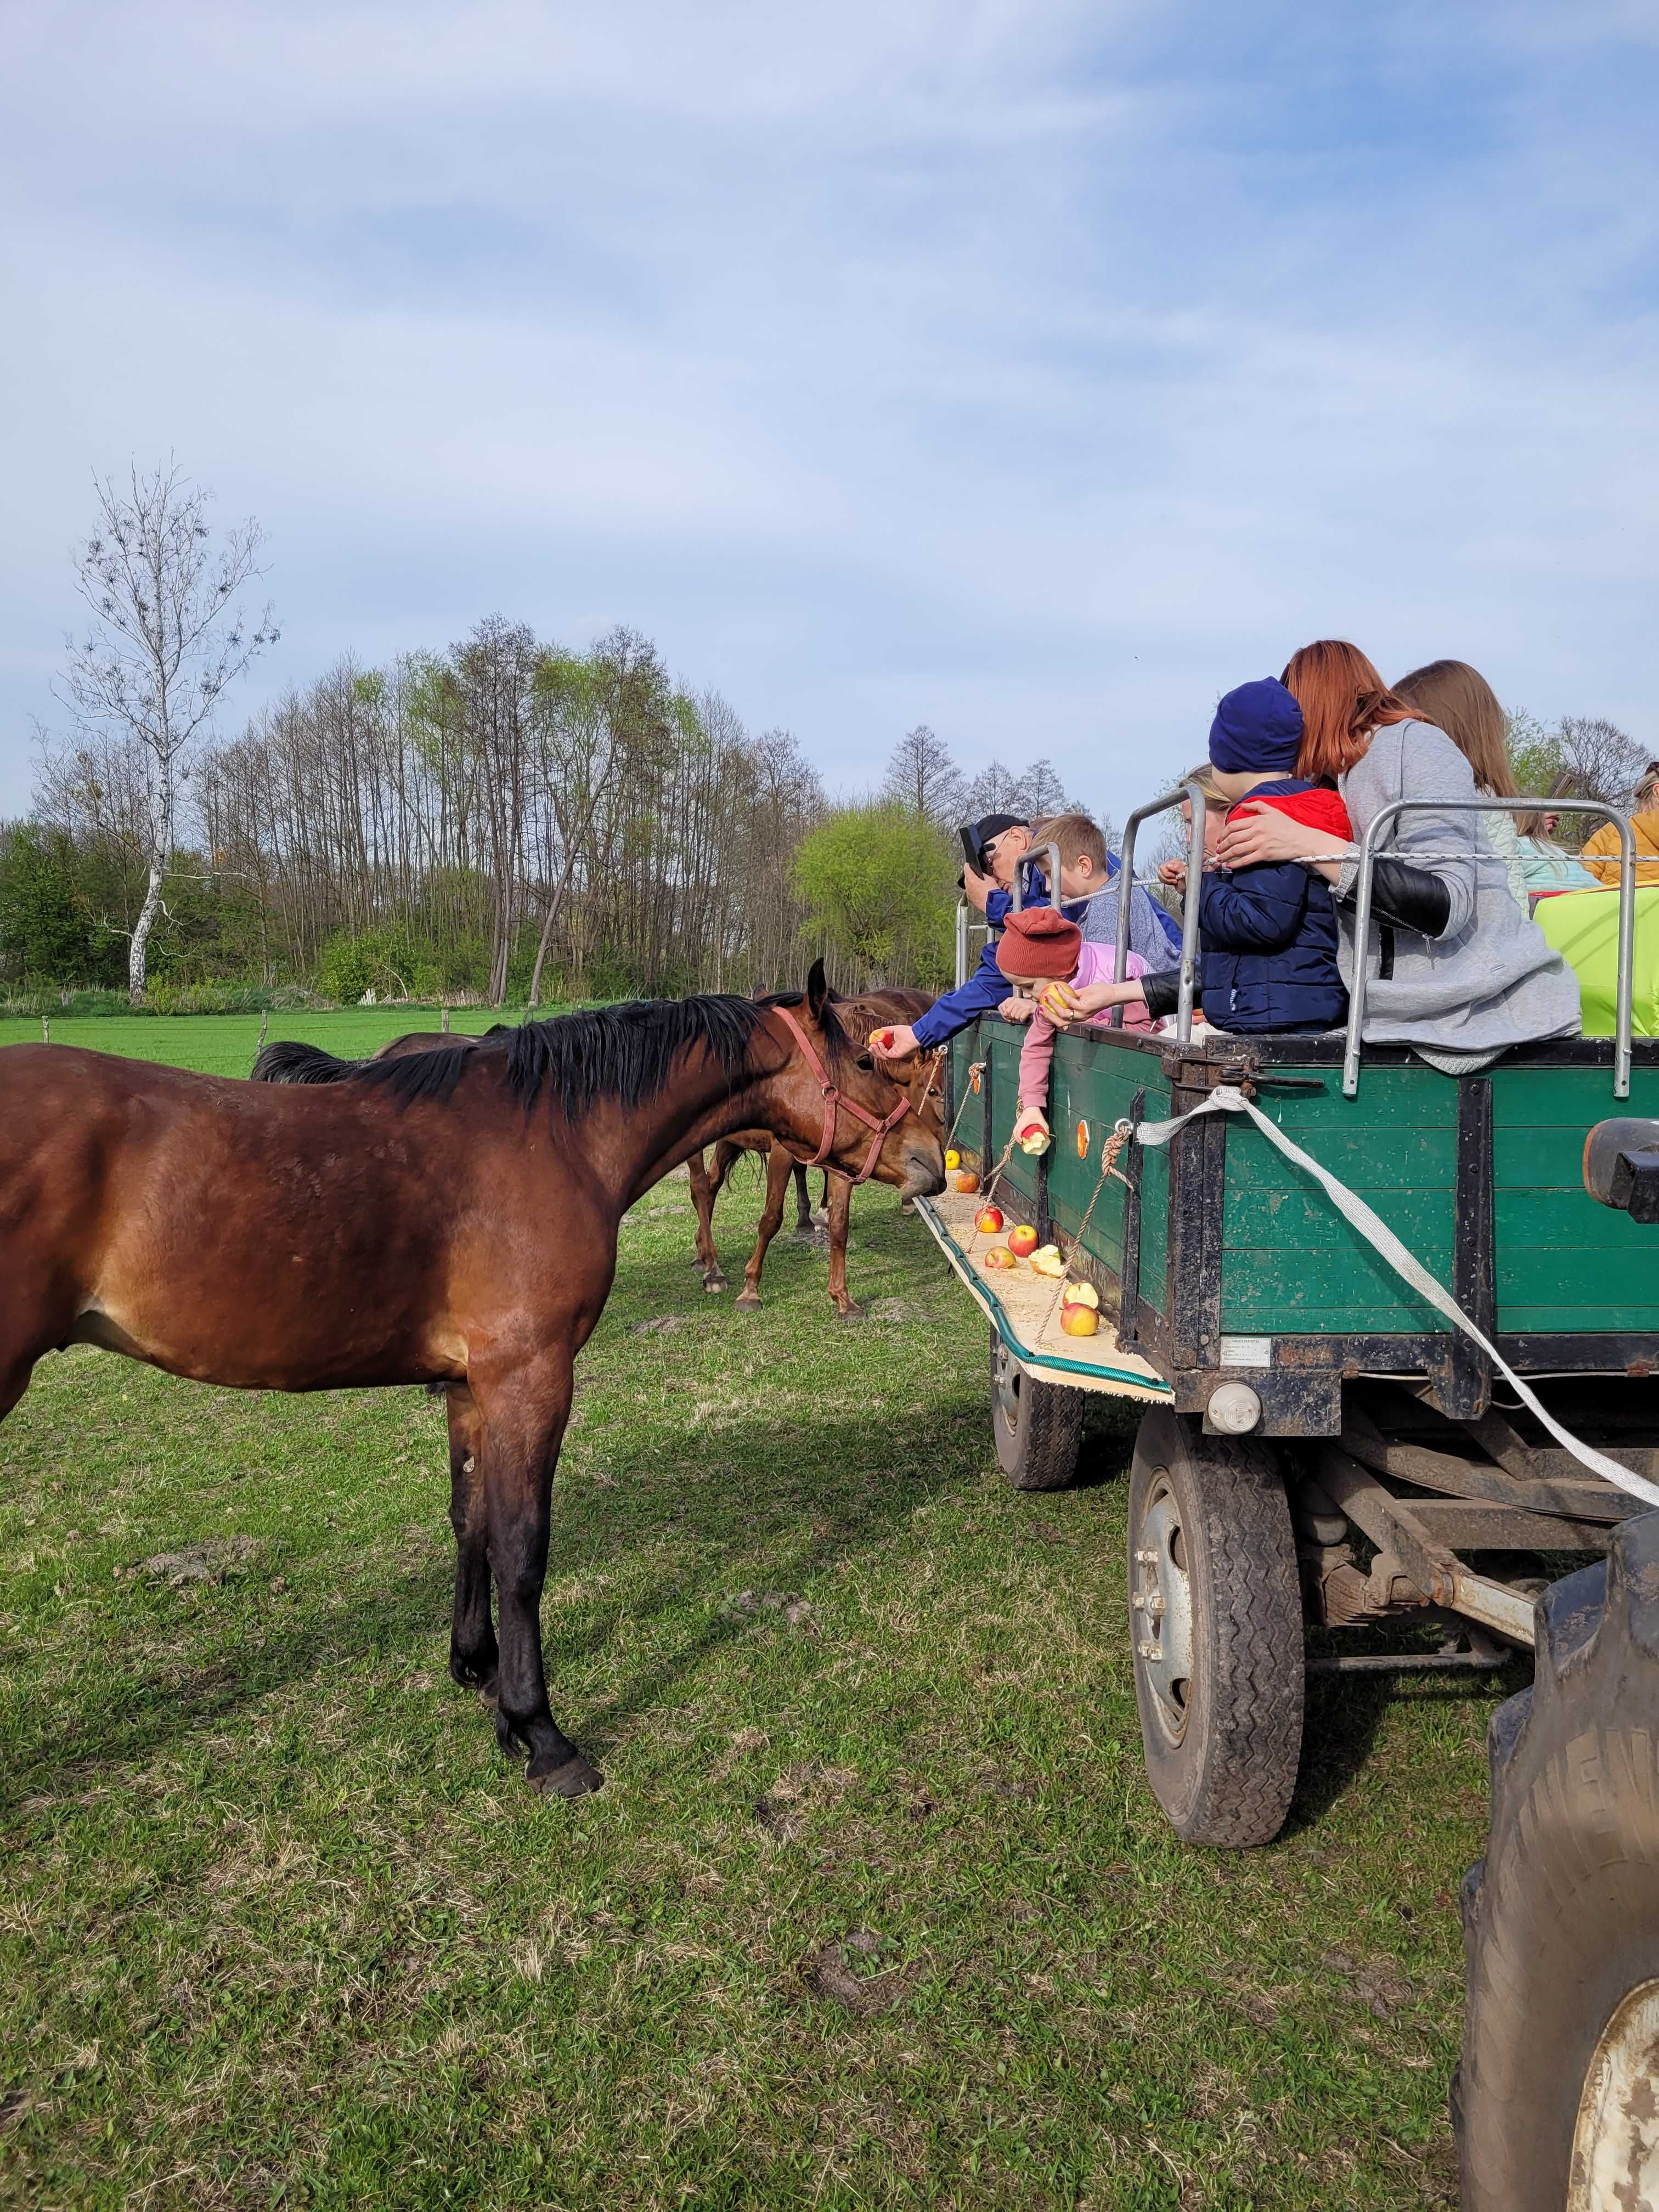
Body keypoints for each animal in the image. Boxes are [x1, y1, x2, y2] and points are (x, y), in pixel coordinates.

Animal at [690, 995, 946, 1318]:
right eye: (934, 1092)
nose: (939, 1155)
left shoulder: (842, 1166)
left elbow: (839, 1225)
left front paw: (843, 1299)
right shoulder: (782, 1153)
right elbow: (771, 1219)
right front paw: (751, 1290)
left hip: (729, 1143)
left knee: (711, 1187)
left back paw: (704, 1254)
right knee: (700, 1189)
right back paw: (713, 1270)